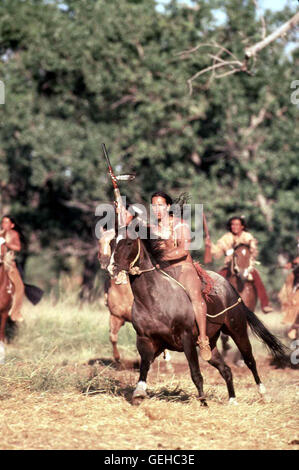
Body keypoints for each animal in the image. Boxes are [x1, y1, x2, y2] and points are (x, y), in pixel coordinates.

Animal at [112, 237, 288, 406]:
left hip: (238, 331)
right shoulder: (146, 340)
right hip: (212, 345)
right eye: (112, 243)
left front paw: (203, 402)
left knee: (250, 361)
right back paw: (232, 400)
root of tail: (230, 287)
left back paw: (264, 394)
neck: (154, 298)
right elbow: (144, 367)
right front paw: (138, 393)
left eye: (129, 243)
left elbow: (196, 373)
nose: (113, 267)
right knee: (226, 370)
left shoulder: (187, 338)